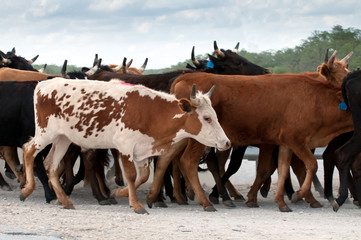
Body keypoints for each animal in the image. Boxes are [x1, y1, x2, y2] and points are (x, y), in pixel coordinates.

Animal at [21, 78, 231, 215]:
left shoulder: (143, 150)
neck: (151, 111)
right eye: (207, 118)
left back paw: (64, 200)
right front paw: (136, 205)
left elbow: (143, 176)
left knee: (50, 165)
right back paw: (27, 190)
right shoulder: (124, 146)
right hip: (45, 133)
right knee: (28, 150)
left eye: (215, 115)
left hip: (62, 138)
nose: (226, 142)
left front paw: (120, 193)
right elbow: (130, 175)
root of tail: (45, 84)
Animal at [145, 50, 352, 212]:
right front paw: (299, 195)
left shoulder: (284, 143)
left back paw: (159, 197)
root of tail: (184, 78)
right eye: (341, 76)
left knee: (167, 159)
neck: (312, 96)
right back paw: (204, 201)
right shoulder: (290, 141)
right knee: (187, 161)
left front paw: (287, 200)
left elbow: (283, 169)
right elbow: (304, 166)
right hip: (198, 140)